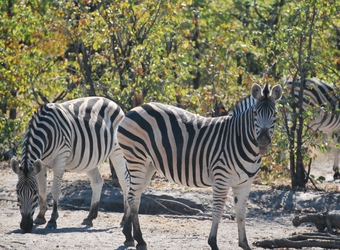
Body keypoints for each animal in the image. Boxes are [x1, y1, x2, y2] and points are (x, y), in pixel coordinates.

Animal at [10, 96, 130, 233]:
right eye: (17, 191)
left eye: (33, 192)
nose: (25, 227)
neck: (45, 131)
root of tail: (113, 102)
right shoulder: (41, 163)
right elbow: (43, 189)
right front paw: (40, 217)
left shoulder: (60, 159)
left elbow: (55, 190)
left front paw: (52, 220)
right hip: (91, 158)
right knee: (97, 182)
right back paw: (90, 217)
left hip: (117, 151)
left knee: (125, 182)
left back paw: (124, 219)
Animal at [117, 83, 282, 250]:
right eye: (255, 113)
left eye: (275, 114)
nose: (262, 142)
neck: (239, 139)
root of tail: (136, 108)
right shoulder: (221, 179)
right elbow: (217, 211)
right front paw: (213, 242)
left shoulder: (244, 184)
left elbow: (241, 215)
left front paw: (244, 244)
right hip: (137, 159)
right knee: (133, 197)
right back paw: (139, 239)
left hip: (148, 165)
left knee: (133, 193)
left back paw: (129, 236)